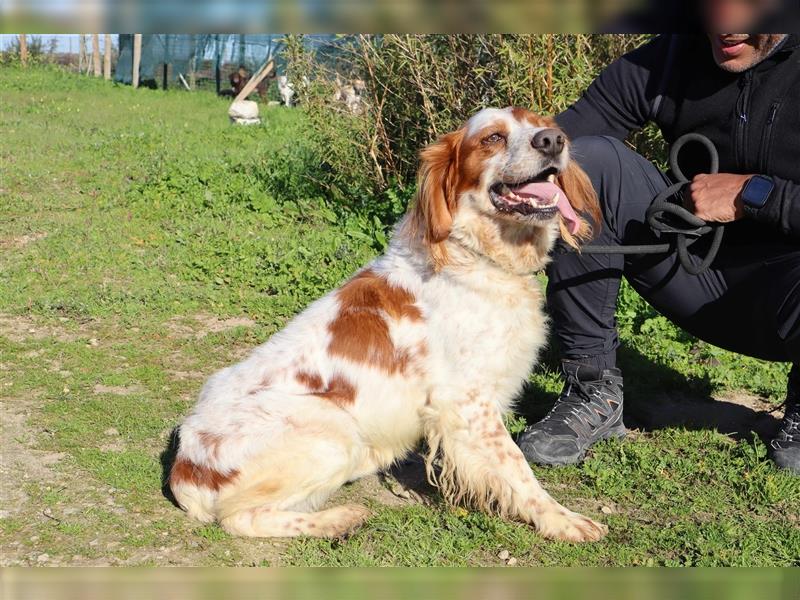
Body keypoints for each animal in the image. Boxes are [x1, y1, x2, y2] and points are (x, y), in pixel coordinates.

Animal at [169, 108, 608, 544]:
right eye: (492, 138)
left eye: (541, 125)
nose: (552, 141)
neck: (477, 257)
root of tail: (184, 466)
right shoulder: (467, 402)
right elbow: (517, 466)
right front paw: (562, 519)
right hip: (334, 430)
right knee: (239, 518)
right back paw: (339, 518)